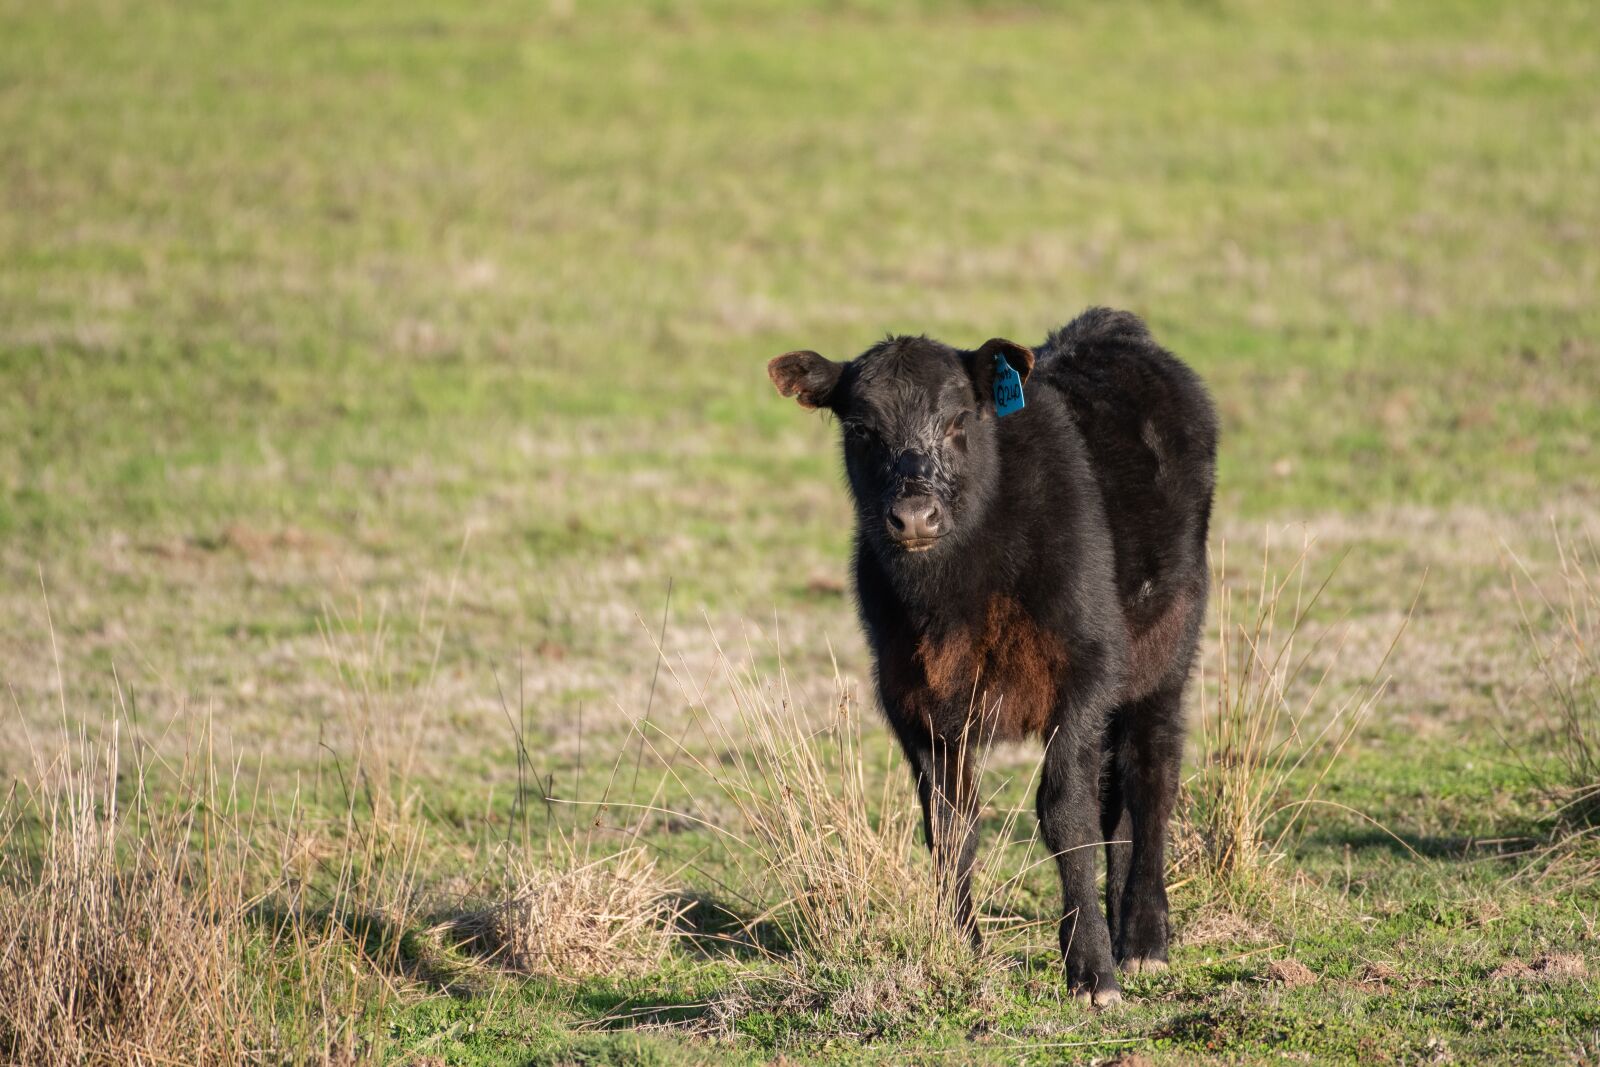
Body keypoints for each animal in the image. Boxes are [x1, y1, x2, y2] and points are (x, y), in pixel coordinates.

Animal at [766, 307, 1217, 1006]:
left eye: (959, 420)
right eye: (862, 428)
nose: (914, 515)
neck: (959, 592)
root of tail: (1113, 329)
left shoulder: (1084, 676)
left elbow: (1065, 815)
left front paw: (1092, 971)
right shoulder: (913, 701)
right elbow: (951, 825)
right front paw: (963, 948)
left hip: (1164, 655)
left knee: (1151, 775)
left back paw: (1143, 939)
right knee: (1115, 796)